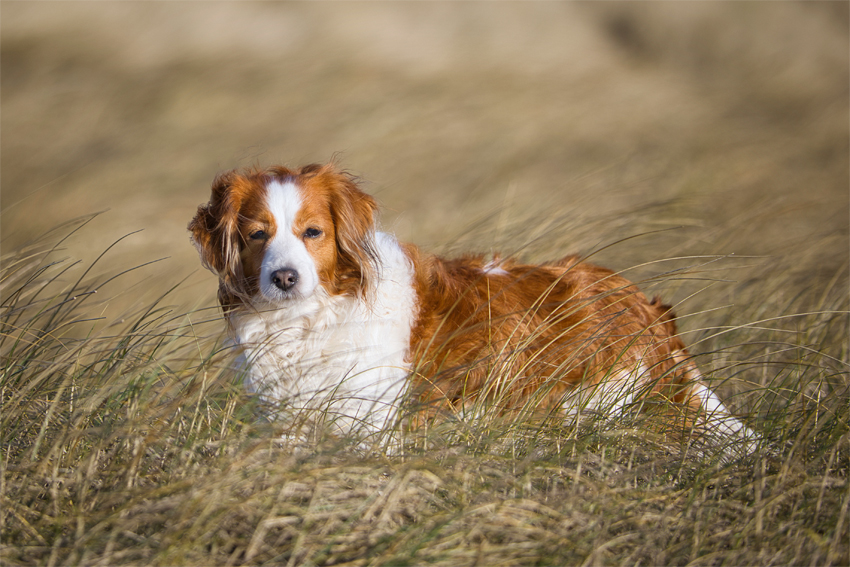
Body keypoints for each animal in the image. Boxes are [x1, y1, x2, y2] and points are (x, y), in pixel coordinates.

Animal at [187, 162, 748, 446]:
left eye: (313, 232)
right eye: (257, 235)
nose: (284, 278)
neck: (311, 319)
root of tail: (642, 301)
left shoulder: (371, 426)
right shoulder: (290, 425)